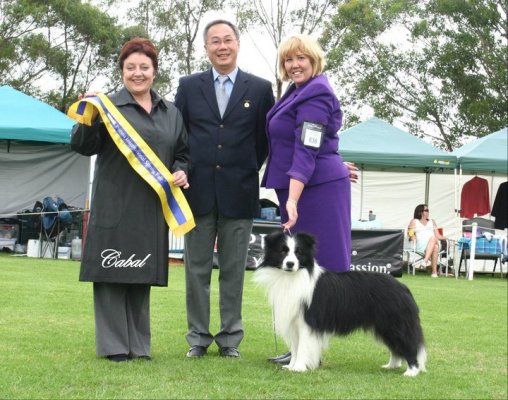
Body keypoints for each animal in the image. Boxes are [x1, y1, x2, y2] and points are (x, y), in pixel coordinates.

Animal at [253, 231, 427, 376]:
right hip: (385, 325)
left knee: (408, 345)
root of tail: (402, 287)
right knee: (395, 348)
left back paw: (411, 371)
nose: (290, 264)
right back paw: (391, 366)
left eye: (299, 252)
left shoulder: (308, 322)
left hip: (395, 324)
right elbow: (295, 348)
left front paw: (299, 368)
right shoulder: (293, 322)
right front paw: (291, 366)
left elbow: (302, 347)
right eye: (283, 251)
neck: (292, 277)